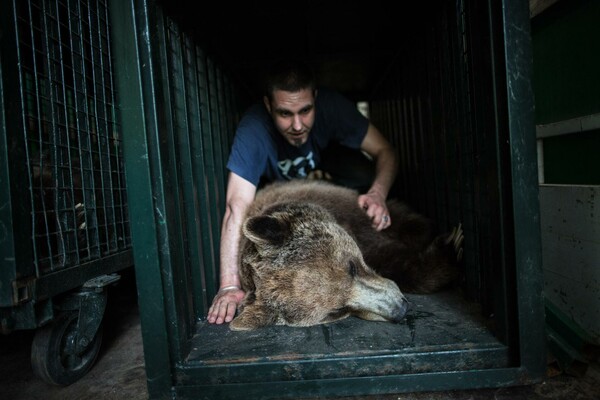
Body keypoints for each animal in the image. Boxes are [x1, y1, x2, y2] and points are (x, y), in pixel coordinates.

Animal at [230, 180, 464, 330]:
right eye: (338, 311)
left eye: (352, 266)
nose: (400, 309)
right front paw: (450, 245)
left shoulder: (348, 213)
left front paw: (451, 238)